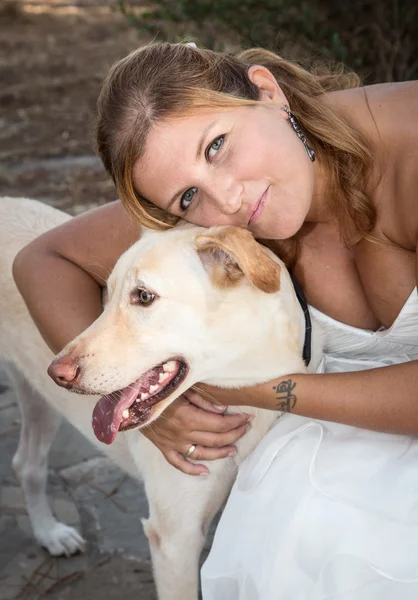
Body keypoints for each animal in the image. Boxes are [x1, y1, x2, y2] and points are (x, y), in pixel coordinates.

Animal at [0, 198, 322, 600]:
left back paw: (49, 533)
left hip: (39, 401)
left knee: (26, 463)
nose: (57, 372)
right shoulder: (174, 539)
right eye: (106, 295)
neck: (248, 389)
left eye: (144, 296)